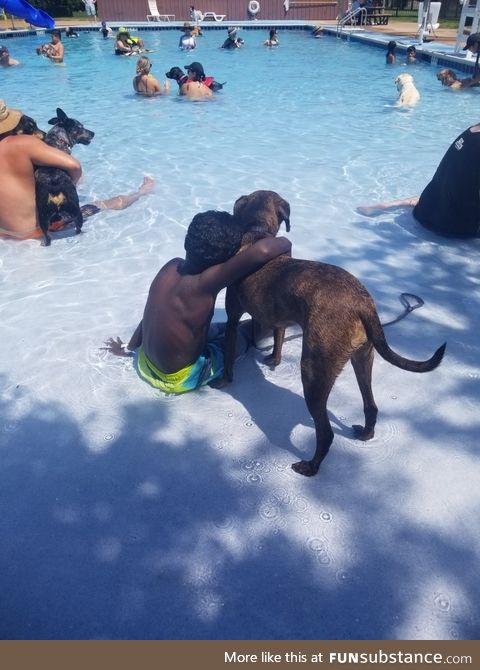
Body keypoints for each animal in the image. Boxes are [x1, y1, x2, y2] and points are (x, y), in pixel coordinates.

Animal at [34, 107, 94, 247]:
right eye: (80, 127)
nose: (93, 133)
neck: (58, 139)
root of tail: (55, 190)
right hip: (76, 210)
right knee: (78, 227)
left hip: (43, 216)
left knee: (47, 236)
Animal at [225, 190, 446, 478]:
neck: (258, 230)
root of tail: (362, 303)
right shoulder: (279, 319)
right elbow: (278, 339)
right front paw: (273, 359)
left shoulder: (232, 317)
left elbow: (230, 352)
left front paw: (223, 380)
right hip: (363, 357)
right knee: (371, 405)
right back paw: (365, 433)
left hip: (314, 371)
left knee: (326, 433)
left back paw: (310, 467)